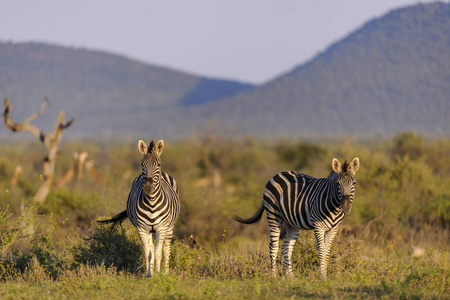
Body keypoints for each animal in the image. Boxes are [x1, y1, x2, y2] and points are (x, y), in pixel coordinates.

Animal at [99, 139, 181, 278]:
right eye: (142, 164)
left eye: (158, 164)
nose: (147, 187)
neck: (152, 202)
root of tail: (165, 173)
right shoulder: (142, 229)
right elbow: (148, 252)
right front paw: (149, 274)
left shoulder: (161, 228)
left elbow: (159, 253)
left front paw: (158, 275)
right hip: (150, 230)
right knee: (152, 248)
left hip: (169, 227)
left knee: (166, 248)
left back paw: (166, 272)